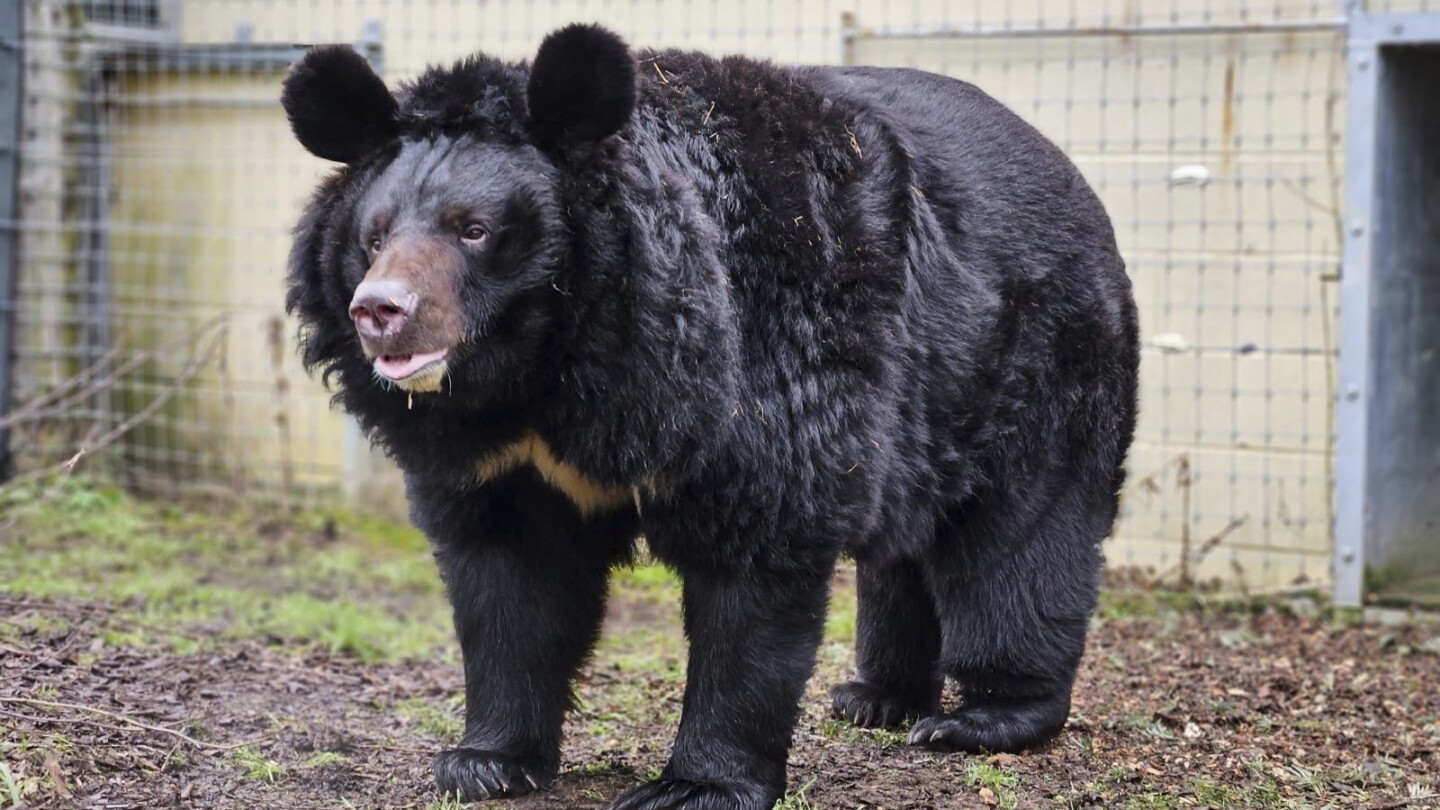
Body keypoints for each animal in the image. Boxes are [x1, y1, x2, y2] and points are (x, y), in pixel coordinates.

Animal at [280, 22, 1134, 801]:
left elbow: (754, 573)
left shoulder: (761, 370)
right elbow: (509, 586)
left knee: (1019, 542)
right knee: (903, 548)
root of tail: (1074, 176)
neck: (550, 372)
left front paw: (696, 784)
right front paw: (483, 762)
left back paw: (983, 717)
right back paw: (876, 698)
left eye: (474, 230)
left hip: (1038, 363)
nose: (379, 311)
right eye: (374, 237)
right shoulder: (498, 460)